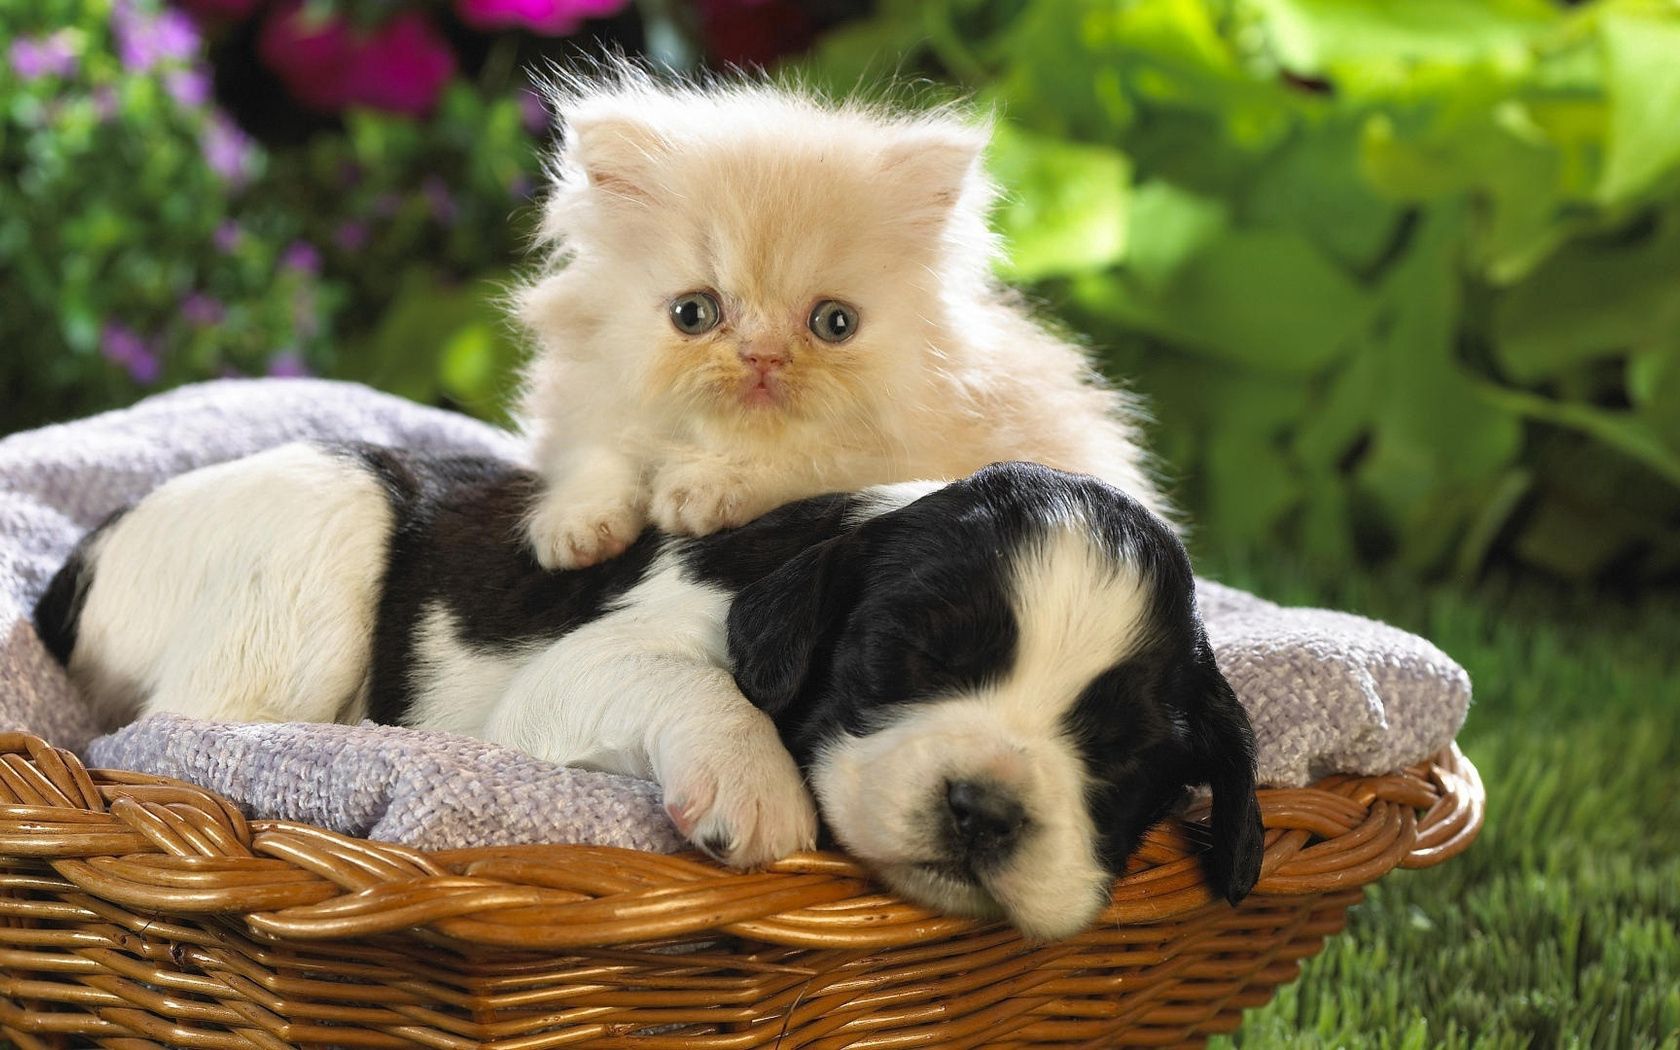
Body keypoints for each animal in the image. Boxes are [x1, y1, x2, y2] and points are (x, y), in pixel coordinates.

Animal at [36, 446, 1263, 940]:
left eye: (1119, 753)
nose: (984, 809)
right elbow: (693, 684)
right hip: (317, 531)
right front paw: (756, 787)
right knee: (177, 728)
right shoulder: (583, 671)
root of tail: (80, 559)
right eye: (908, 663)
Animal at [514, 62, 1169, 567]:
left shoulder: (903, 460)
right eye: (692, 314)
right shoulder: (585, 403)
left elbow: (806, 461)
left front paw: (705, 486)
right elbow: (598, 453)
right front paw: (575, 525)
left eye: (835, 324)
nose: (762, 357)